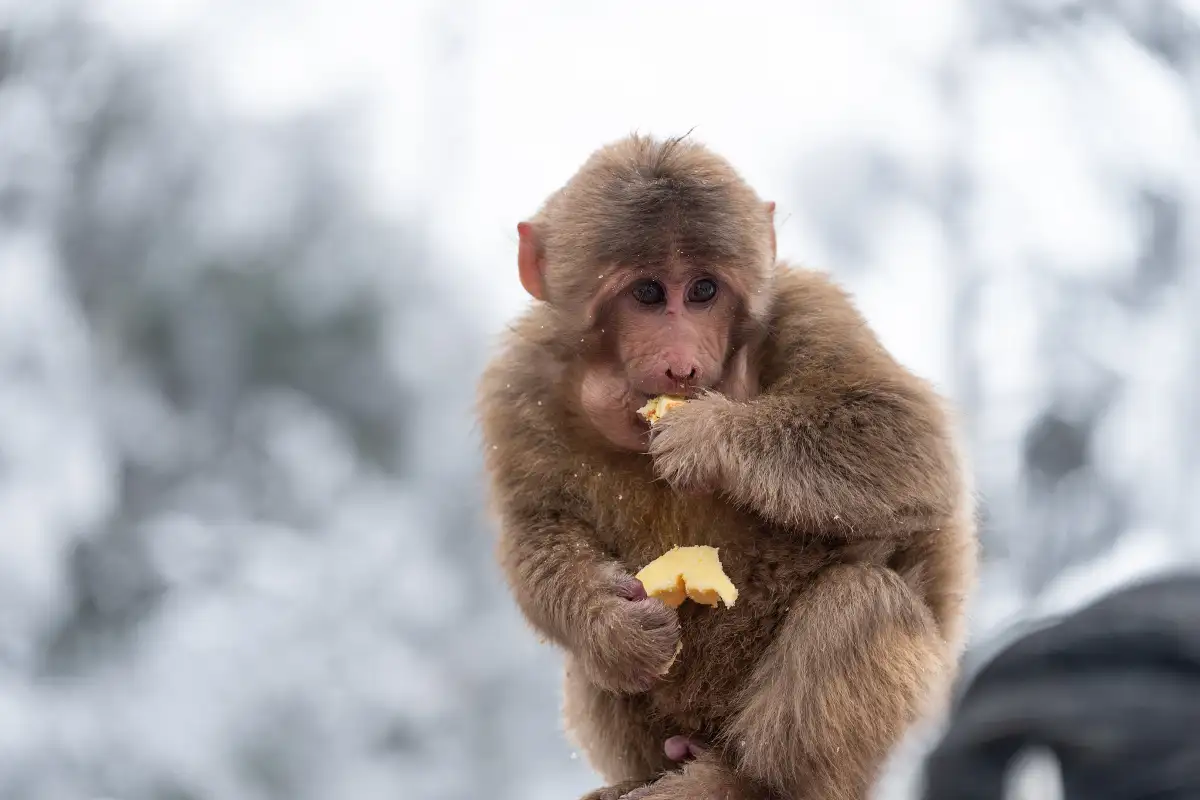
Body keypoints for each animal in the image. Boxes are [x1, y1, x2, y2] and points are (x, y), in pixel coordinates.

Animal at [477, 133, 978, 800]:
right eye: (647, 294)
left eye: (703, 292)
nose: (682, 366)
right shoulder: (518, 384)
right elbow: (538, 527)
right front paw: (610, 626)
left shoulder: (811, 309)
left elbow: (908, 440)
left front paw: (706, 436)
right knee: (593, 669)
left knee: (864, 599)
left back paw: (752, 784)